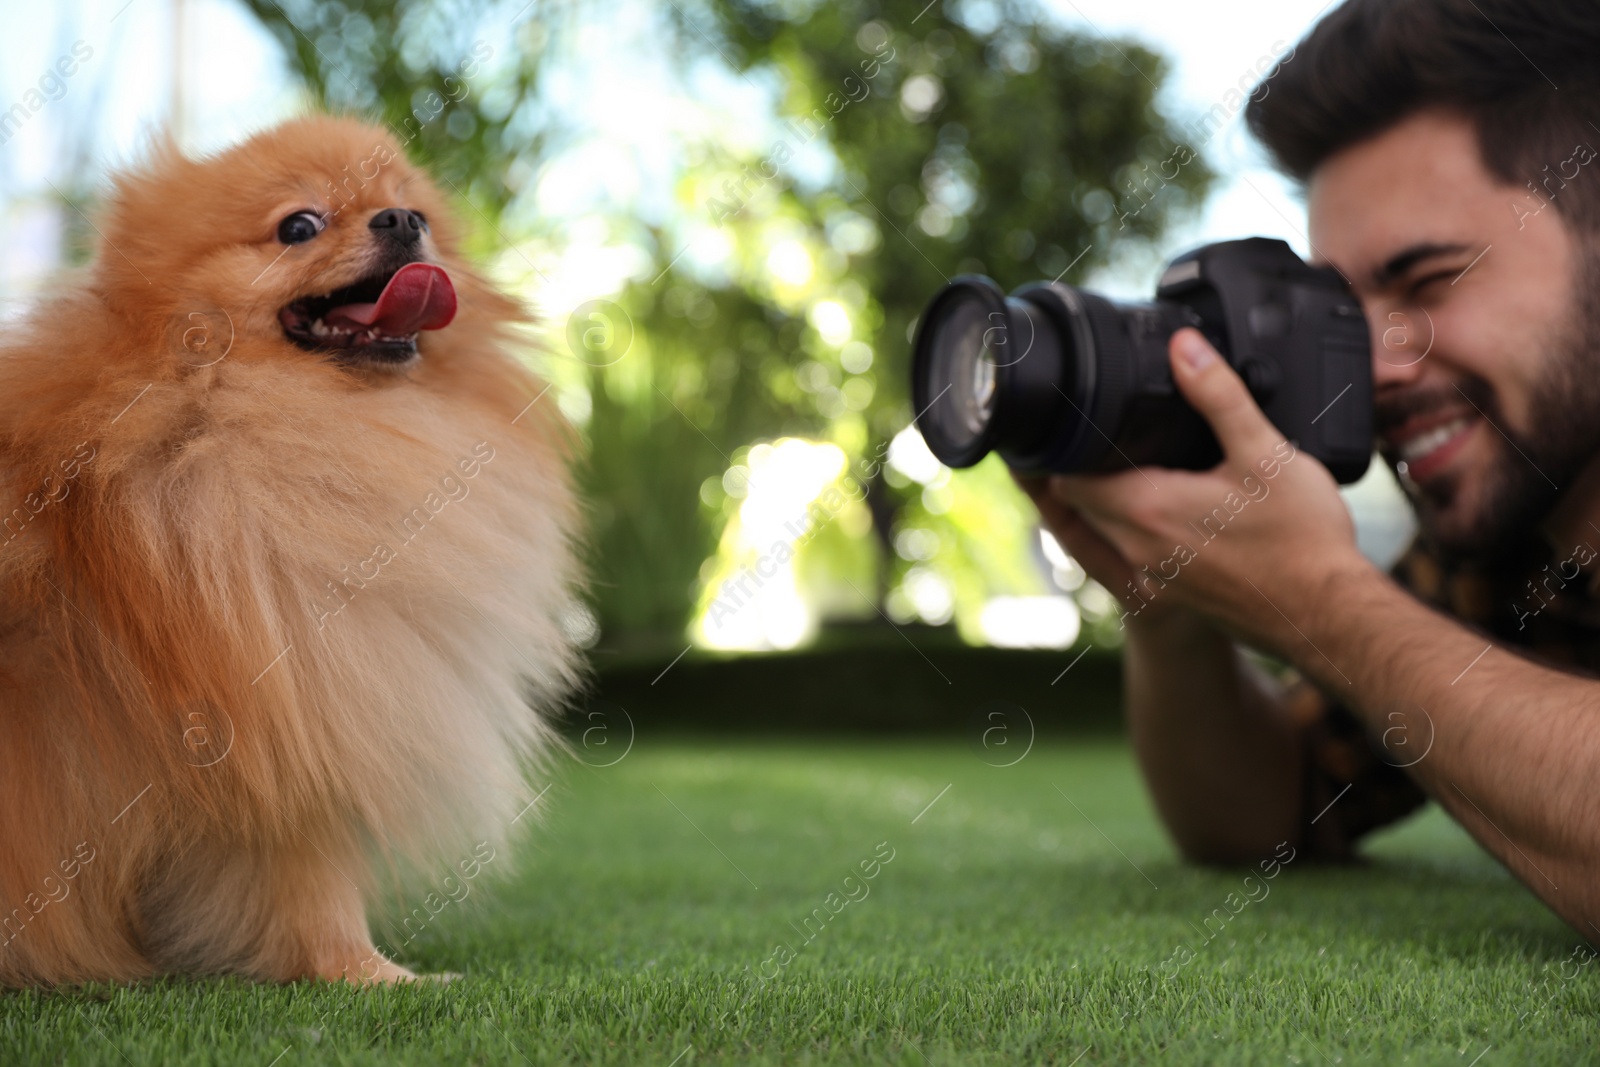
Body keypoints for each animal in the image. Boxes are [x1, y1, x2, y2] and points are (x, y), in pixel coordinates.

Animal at [0, 115, 582, 985]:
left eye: (415, 211)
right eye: (299, 226)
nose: (400, 223)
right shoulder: (275, 698)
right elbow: (310, 879)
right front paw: (374, 976)